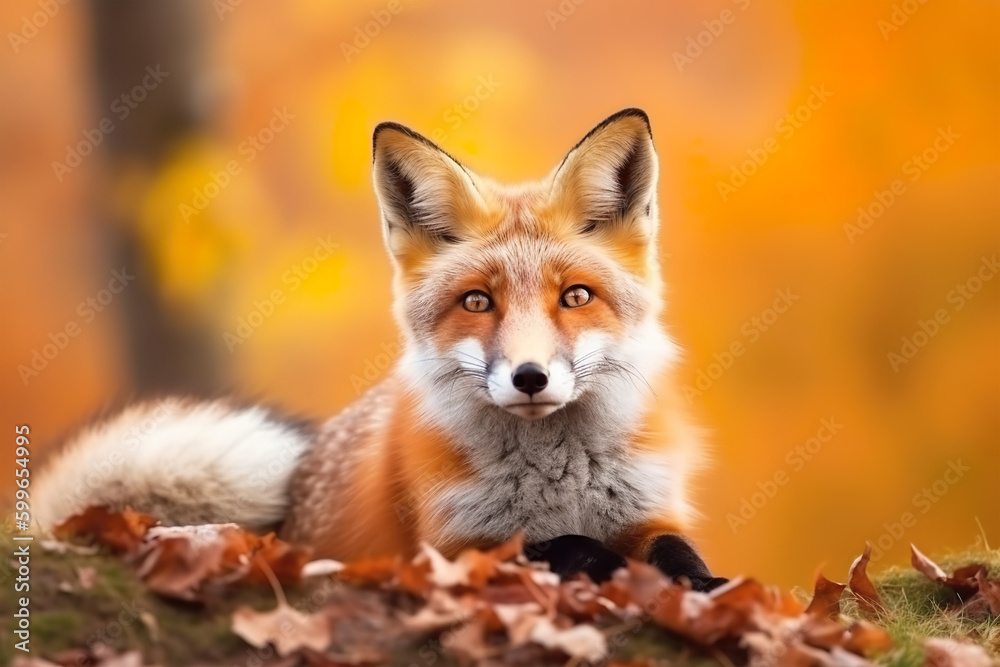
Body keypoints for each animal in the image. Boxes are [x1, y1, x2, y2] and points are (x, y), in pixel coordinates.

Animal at [35, 109, 724, 588]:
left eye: (575, 297)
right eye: (478, 302)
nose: (530, 377)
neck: (558, 483)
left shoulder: (650, 512)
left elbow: (675, 552)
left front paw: (701, 585)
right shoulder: (453, 547)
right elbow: (569, 548)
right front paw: (610, 567)